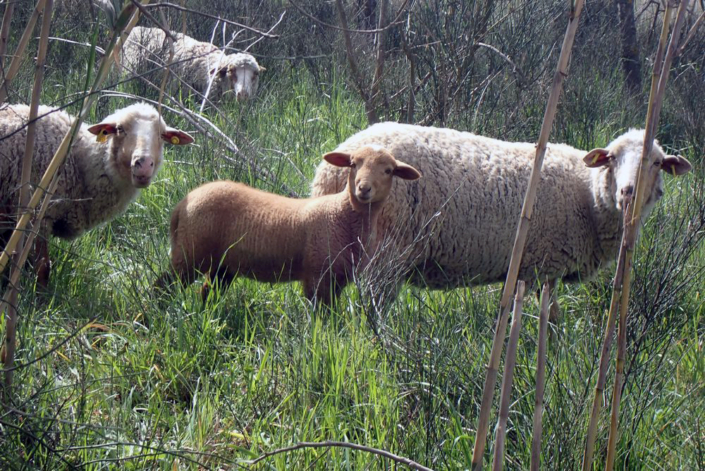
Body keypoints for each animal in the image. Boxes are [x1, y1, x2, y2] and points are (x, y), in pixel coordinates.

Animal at [0, 102, 194, 286]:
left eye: (161, 135)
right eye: (120, 129)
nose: (144, 164)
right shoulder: (36, 215)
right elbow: (42, 267)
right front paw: (41, 298)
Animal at [159, 146, 421, 305]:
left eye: (388, 170)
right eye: (353, 163)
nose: (363, 189)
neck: (343, 213)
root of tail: (183, 203)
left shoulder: (337, 279)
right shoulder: (317, 275)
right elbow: (322, 318)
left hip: (222, 265)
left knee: (206, 293)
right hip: (191, 252)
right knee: (163, 285)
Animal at [311, 124, 692, 310]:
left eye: (657, 162)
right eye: (611, 157)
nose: (628, 192)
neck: (588, 196)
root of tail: (335, 167)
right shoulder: (542, 268)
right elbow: (549, 321)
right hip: (386, 254)